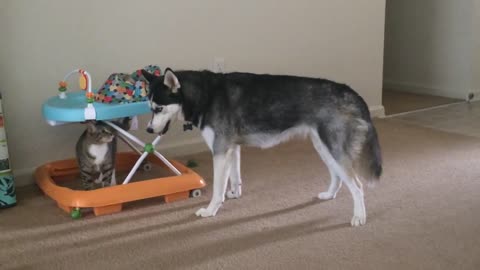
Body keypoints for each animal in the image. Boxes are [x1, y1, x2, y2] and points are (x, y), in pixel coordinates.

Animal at [141, 67, 380, 226]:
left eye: (159, 108)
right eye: (150, 107)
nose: (149, 130)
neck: (205, 95)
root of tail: (349, 91)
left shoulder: (220, 150)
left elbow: (217, 188)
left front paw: (211, 210)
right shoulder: (232, 149)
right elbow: (234, 177)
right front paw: (234, 193)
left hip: (334, 149)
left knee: (357, 185)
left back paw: (359, 216)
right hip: (323, 147)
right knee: (338, 176)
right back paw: (330, 195)